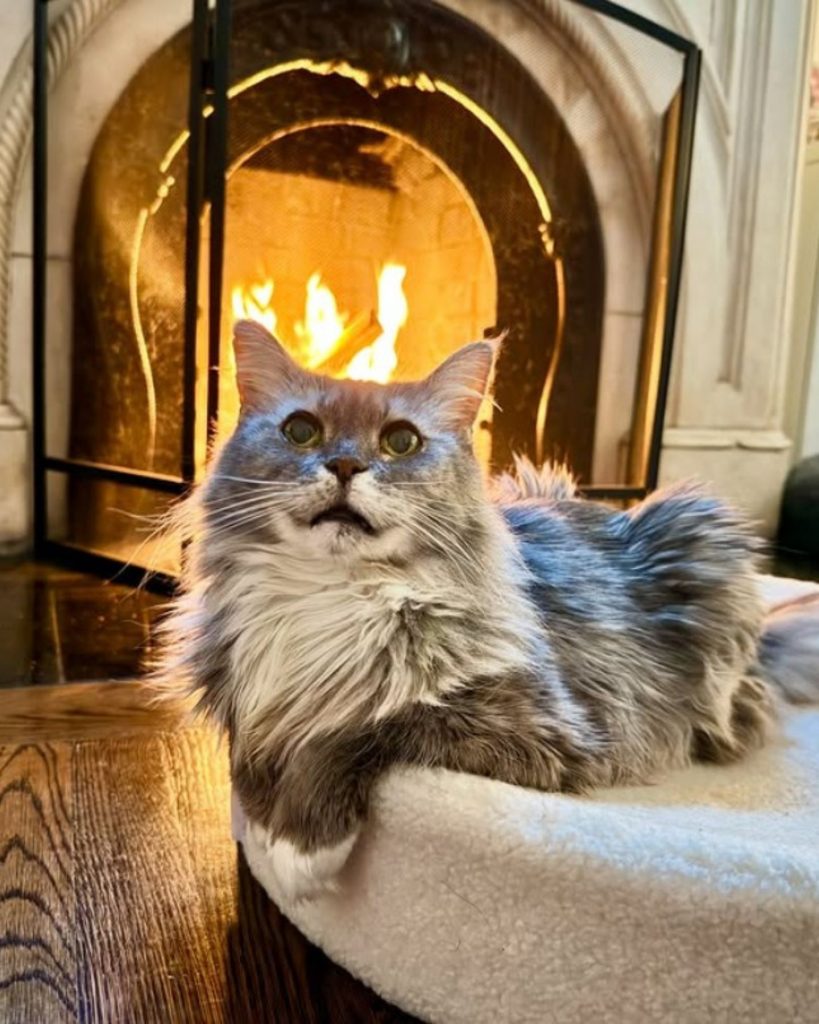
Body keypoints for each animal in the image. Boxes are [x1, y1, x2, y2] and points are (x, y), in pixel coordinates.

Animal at [155, 317, 818, 897]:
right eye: (301, 431)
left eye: (401, 441)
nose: (344, 464)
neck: (331, 596)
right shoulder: (244, 691)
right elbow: (251, 748)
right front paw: (259, 822)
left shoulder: (541, 726)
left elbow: (357, 725)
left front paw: (297, 850)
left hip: (700, 537)